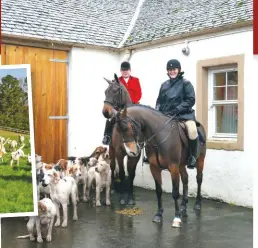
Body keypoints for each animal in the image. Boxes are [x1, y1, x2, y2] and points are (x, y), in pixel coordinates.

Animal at [101, 75, 143, 205]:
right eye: (105, 92)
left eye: (115, 91)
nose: (105, 112)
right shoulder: (119, 153)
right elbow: (122, 173)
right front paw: (124, 197)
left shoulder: (136, 154)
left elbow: (132, 174)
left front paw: (131, 195)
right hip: (112, 149)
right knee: (113, 166)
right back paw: (114, 189)